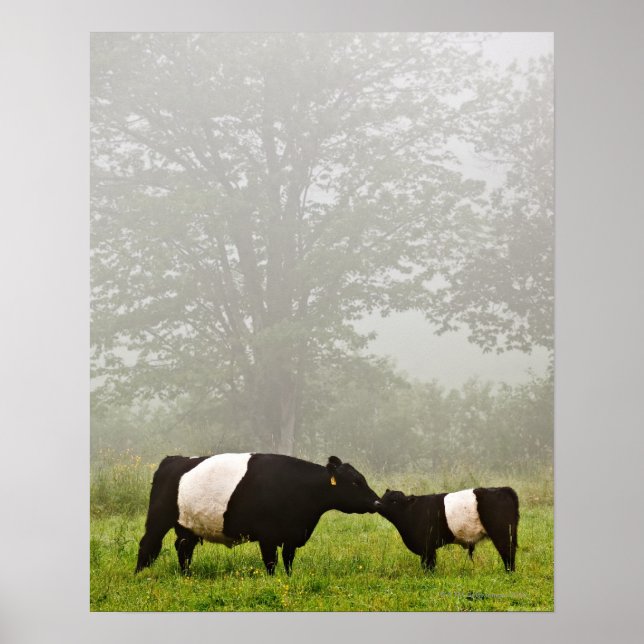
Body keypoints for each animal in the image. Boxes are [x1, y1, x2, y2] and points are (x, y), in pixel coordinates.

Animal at [135, 453, 380, 576]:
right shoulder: (268, 535)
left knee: (184, 548)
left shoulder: (292, 534)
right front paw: (273, 580)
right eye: (355, 482)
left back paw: (187, 576)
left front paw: (289, 578)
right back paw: (138, 575)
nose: (376, 501)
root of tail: (174, 459)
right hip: (159, 517)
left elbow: (288, 560)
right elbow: (271, 561)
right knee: (148, 544)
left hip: (188, 525)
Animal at [377, 487, 519, 572]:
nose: (377, 503)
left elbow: (429, 564)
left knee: (507, 553)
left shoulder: (427, 547)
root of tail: (503, 489)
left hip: (502, 534)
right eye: (383, 497)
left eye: (394, 501)